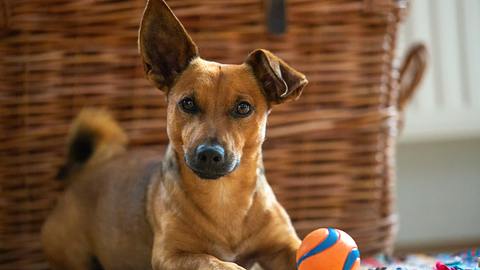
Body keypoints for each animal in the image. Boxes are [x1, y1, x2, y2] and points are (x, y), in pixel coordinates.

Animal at [43, 0, 308, 270]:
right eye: (188, 103)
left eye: (243, 108)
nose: (209, 154)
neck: (224, 197)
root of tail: (87, 170)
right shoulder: (171, 255)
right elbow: (213, 262)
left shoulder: (286, 246)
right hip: (75, 256)